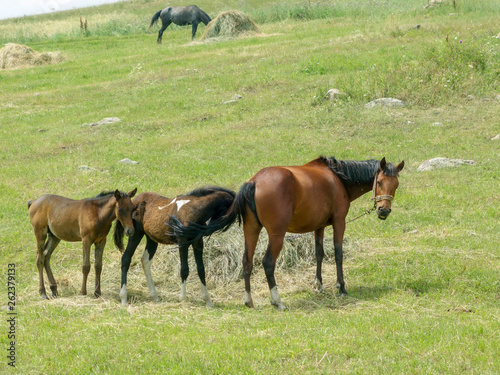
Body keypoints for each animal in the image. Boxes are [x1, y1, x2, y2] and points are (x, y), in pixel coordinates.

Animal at [170, 156, 404, 312]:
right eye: (379, 182)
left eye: (396, 185)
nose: (384, 211)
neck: (338, 178)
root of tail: (254, 181)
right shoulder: (339, 222)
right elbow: (338, 253)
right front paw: (341, 287)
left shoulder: (319, 226)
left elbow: (319, 254)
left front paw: (319, 285)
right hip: (277, 234)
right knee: (267, 262)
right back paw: (277, 300)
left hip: (251, 230)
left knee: (247, 262)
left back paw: (248, 300)